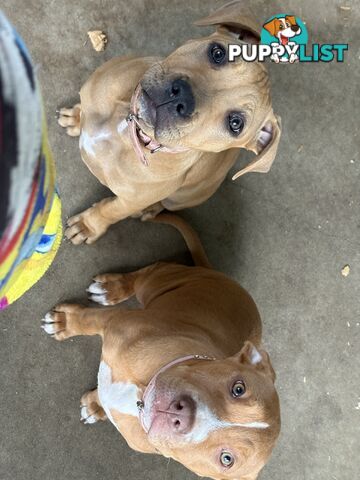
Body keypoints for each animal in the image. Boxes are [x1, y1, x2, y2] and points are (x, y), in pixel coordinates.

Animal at [41, 215, 278, 480]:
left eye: (226, 458)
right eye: (238, 388)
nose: (181, 414)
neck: (140, 398)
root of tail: (216, 273)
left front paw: (95, 406)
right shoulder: (115, 321)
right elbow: (88, 320)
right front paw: (66, 322)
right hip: (158, 283)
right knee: (151, 269)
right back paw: (112, 287)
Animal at [59, 0, 282, 248]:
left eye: (235, 123)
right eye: (217, 53)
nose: (182, 97)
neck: (129, 129)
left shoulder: (128, 201)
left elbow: (111, 210)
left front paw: (88, 225)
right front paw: (77, 117)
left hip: (183, 197)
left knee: (165, 204)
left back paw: (151, 209)